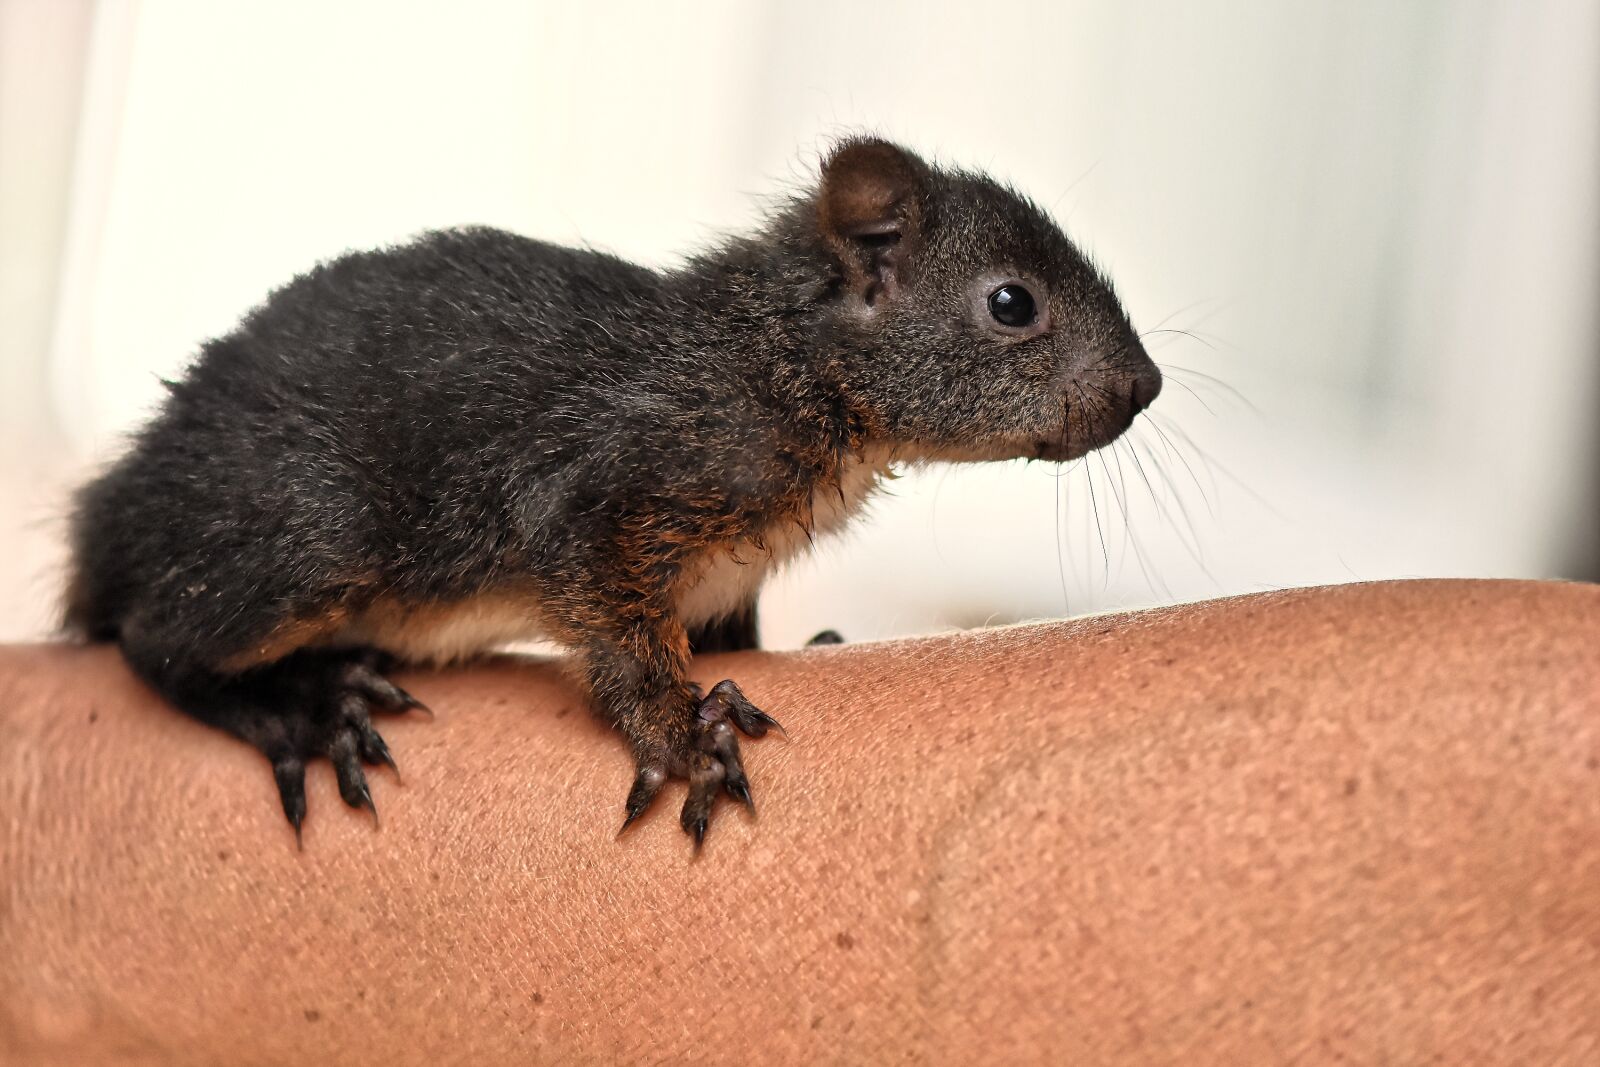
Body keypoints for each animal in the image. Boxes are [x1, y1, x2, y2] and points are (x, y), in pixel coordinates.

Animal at [64, 138, 1162, 848]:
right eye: (1012, 303)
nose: (1144, 385)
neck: (782, 360)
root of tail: (116, 510)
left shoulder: (724, 571)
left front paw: (798, 644)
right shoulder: (609, 482)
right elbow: (616, 624)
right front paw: (683, 734)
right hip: (309, 534)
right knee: (157, 638)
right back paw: (298, 706)